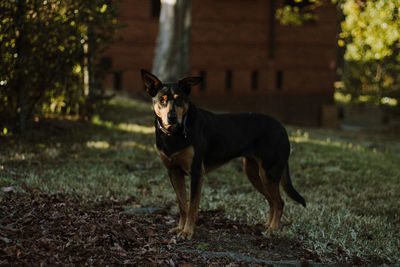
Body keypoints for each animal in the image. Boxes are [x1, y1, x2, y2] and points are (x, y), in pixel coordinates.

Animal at [141, 69, 306, 241]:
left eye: (179, 99)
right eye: (162, 100)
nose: (172, 117)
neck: (174, 134)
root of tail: (282, 128)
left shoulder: (196, 173)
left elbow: (192, 206)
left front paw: (187, 232)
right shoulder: (174, 172)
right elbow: (182, 204)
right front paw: (180, 228)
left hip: (269, 173)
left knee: (279, 202)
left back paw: (272, 230)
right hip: (254, 173)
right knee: (272, 201)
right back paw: (267, 225)